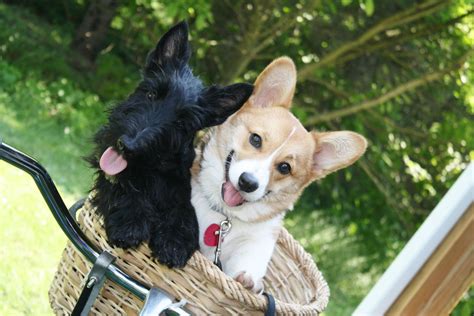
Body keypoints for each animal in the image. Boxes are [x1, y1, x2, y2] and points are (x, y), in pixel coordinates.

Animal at [192, 56, 366, 292]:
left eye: (285, 167)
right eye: (256, 139)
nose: (247, 183)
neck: (224, 216)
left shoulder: (256, 243)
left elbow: (246, 264)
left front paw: (249, 280)